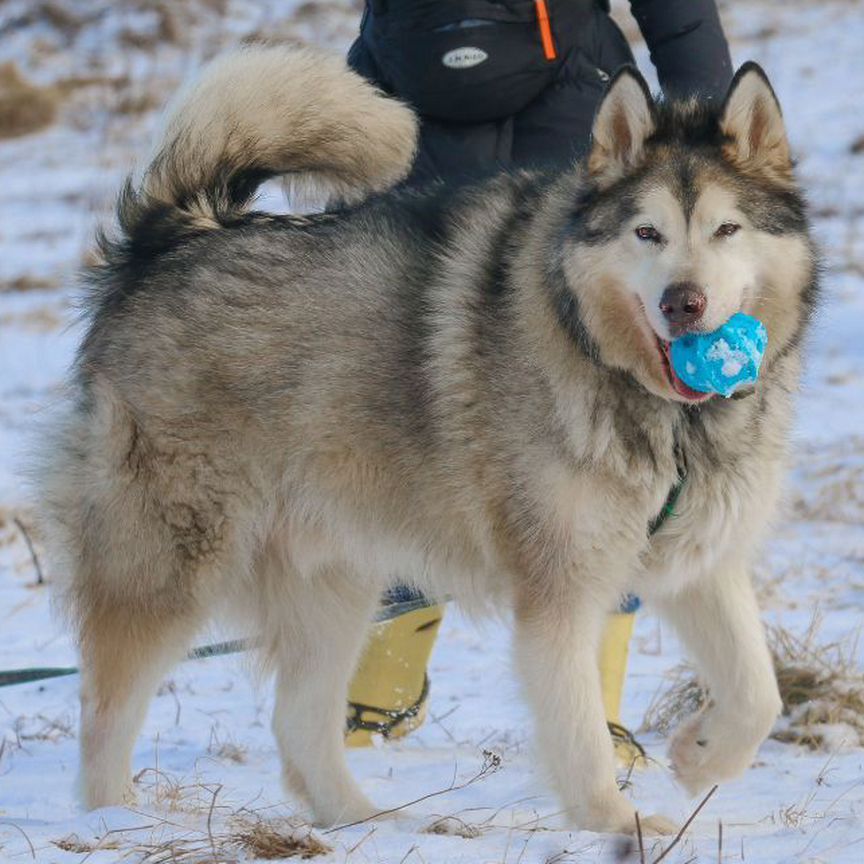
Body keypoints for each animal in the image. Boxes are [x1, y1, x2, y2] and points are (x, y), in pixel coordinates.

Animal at [35, 44, 816, 832]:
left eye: (726, 230)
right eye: (646, 233)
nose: (683, 303)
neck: (668, 417)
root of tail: (174, 236)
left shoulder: (700, 559)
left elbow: (758, 692)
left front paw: (702, 754)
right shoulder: (558, 586)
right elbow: (578, 728)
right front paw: (614, 823)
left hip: (335, 577)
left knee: (298, 719)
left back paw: (364, 823)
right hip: (170, 564)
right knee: (106, 709)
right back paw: (114, 824)